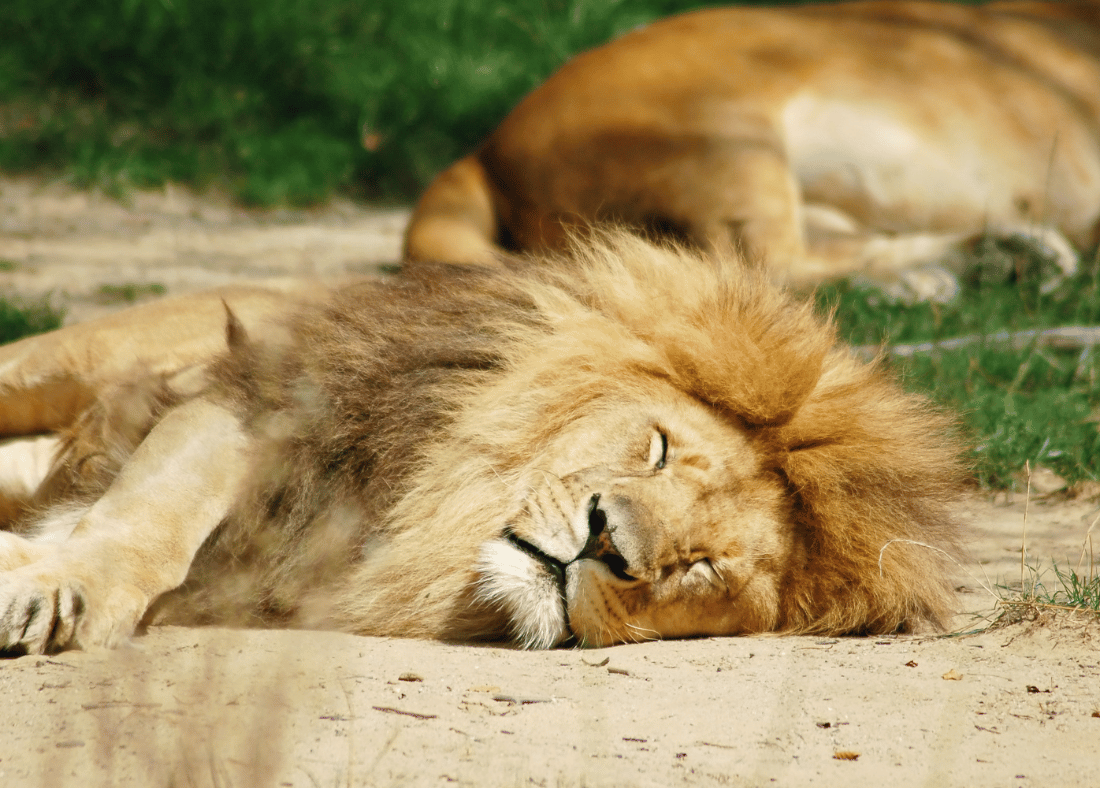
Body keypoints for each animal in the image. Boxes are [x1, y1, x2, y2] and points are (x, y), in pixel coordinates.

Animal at [0, 233, 965, 654]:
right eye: (657, 448)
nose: (607, 541)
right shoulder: (255, 406)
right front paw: (51, 590)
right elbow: (145, 523)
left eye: (701, 570)